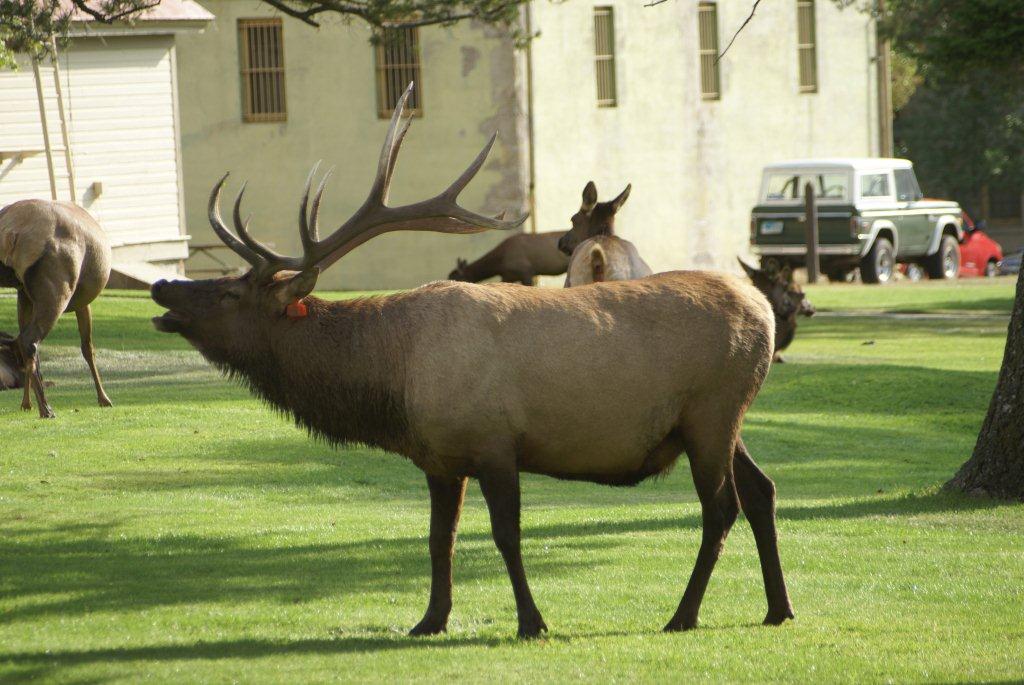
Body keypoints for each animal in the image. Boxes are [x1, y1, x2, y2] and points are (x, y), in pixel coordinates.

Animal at [0, 198, 114, 417]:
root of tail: (12, 232)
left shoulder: (24, 294)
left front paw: (25, 403)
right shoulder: (83, 301)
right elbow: (88, 348)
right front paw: (104, 398)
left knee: (25, 342)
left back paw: (34, 404)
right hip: (58, 288)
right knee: (30, 340)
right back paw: (46, 408)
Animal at [151, 83, 794, 634]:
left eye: (231, 292)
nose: (161, 286)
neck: (392, 383)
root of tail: (762, 310)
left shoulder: (494, 442)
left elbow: (506, 535)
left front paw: (532, 621)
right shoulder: (440, 458)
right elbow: (441, 538)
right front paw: (429, 620)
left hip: (711, 411)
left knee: (722, 507)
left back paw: (683, 615)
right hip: (719, 420)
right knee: (762, 490)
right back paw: (778, 608)